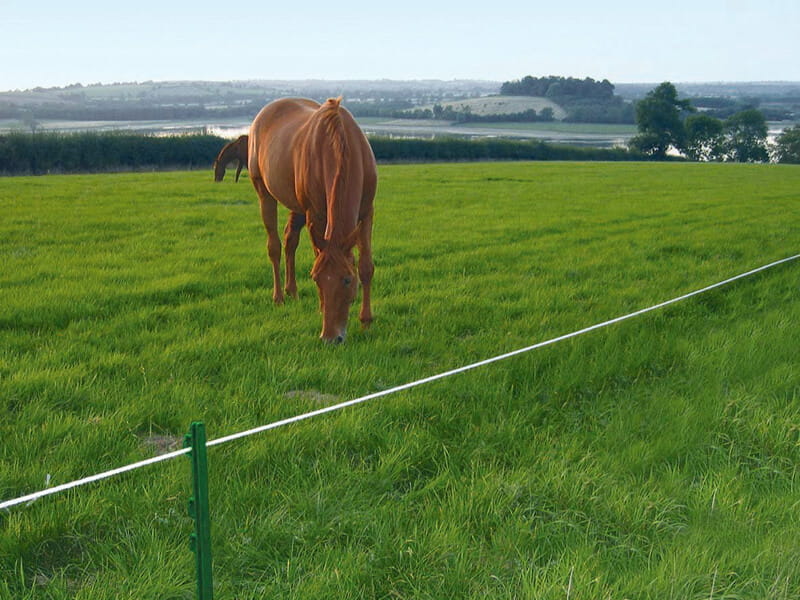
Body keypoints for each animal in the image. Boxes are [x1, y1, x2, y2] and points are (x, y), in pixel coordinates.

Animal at [248, 97, 377, 343]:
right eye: (316, 279)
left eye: (347, 279)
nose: (331, 338)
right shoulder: (315, 215)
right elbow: (318, 255)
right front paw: (321, 307)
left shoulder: (367, 212)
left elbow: (366, 266)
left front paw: (366, 321)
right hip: (263, 191)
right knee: (274, 246)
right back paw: (279, 297)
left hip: (296, 206)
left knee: (290, 240)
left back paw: (292, 291)